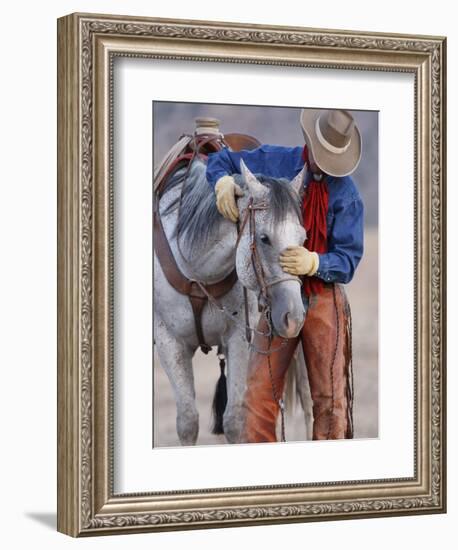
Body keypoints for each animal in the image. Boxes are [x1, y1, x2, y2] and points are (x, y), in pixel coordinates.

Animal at [154, 157, 312, 446]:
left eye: (303, 239)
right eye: (264, 238)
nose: (294, 318)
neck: (197, 271)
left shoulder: (239, 339)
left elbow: (235, 421)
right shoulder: (169, 342)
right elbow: (188, 422)